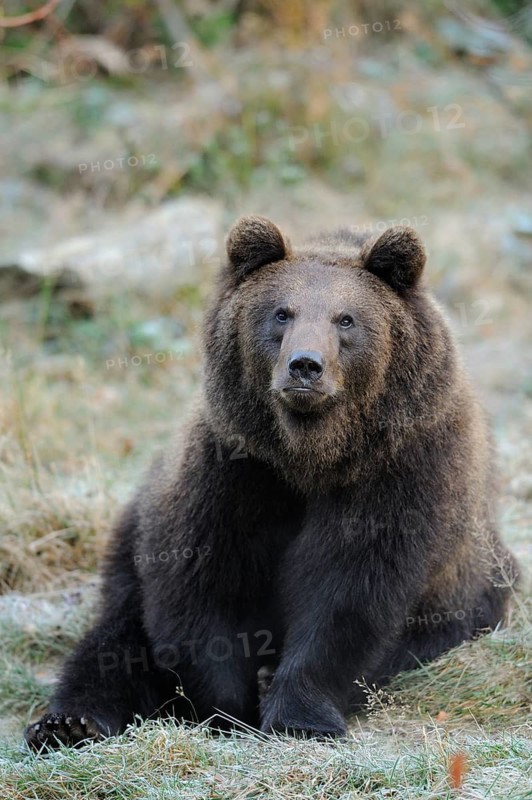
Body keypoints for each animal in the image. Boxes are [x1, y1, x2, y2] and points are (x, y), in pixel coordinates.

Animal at [25, 216, 518, 749]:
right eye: (282, 313)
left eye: (346, 319)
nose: (305, 365)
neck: (310, 454)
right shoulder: (235, 470)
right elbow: (202, 583)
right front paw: (227, 709)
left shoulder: (398, 472)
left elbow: (348, 594)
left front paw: (298, 714)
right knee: (115, 636)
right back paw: (68, 721)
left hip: (473, 590)